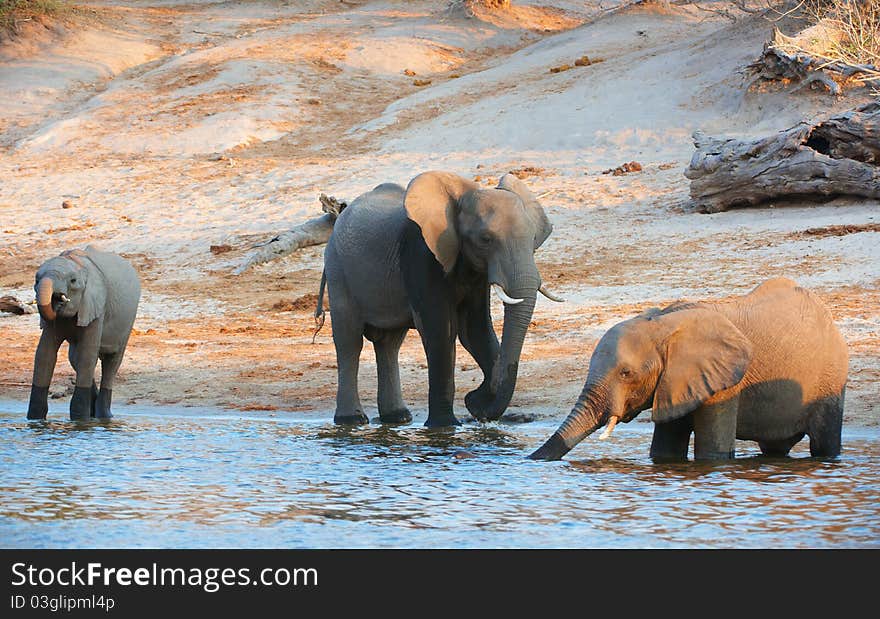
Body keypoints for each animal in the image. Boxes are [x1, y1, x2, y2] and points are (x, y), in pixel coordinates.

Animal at [26, 247, 141, 422]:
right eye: (36, 280)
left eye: (73, 281)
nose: (57, 301)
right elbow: (45, 355)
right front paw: (35, 420)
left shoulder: (96, 306)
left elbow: (87, 355)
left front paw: (80, 420)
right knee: (75, 358)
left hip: (128, 321)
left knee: (111, 362)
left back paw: (104, 416)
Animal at [320, 172, 560, 428]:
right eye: (485, 239)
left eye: (533, 238)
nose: (474, 402)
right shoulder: (422, 254)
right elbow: (441, 331)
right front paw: (444, 426)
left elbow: (475, 331)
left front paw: (477, 404)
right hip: (338, 272)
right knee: (349, 342)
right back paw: (351, 420)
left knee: (389, 344)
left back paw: (398, 418)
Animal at [524, 278, 848, 462]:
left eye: (626, 373)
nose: (527, 460)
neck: (663, 325)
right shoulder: (675, 381)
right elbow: (665, 450)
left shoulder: (723, 384)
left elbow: (712, 453)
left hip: (831, 378)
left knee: (824, 443)